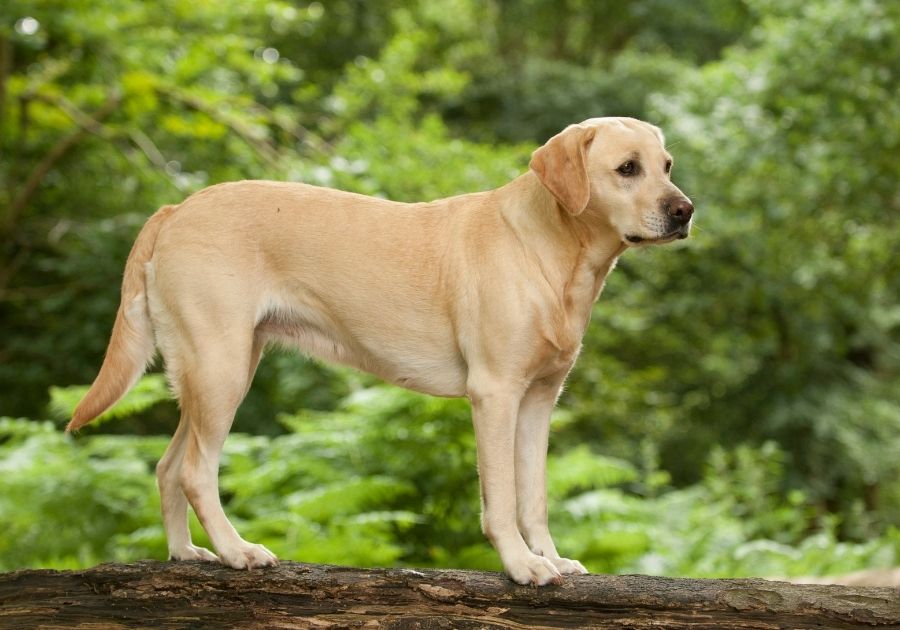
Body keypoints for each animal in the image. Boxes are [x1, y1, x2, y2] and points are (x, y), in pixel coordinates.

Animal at [70, 117, 692, 588]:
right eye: (627, 168)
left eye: (666, 166)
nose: (685, 211)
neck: (553, 252)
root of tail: (174, 208)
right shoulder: (494, 393)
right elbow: (501, 500)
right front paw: (521, 566)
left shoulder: (539, 400)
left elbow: (533, 496)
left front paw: (551, 558)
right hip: (219, 370)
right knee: (196, 471)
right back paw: (237, 551)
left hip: (215, 373)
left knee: (168, 466)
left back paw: (187, 554)